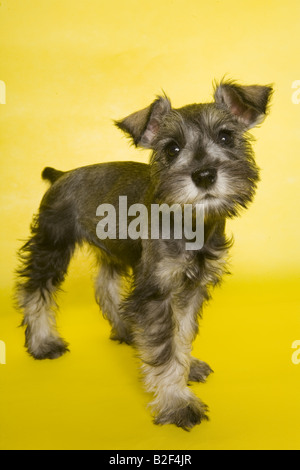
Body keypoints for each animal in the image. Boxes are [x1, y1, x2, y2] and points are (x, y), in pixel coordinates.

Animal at [15, 80, 272, 430]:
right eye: (172, 149)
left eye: (225, 137)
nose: (204, 175)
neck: (193, 223)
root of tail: (62, 174)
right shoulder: (156, 291)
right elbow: (165, 348)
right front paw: (177, 402)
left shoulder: (189, 288)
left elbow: (181, 334)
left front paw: (187, 367)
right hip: (52, 246)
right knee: (35, 290)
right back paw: (42, 342)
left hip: (114, 251)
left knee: (104, 285)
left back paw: (126, 331)